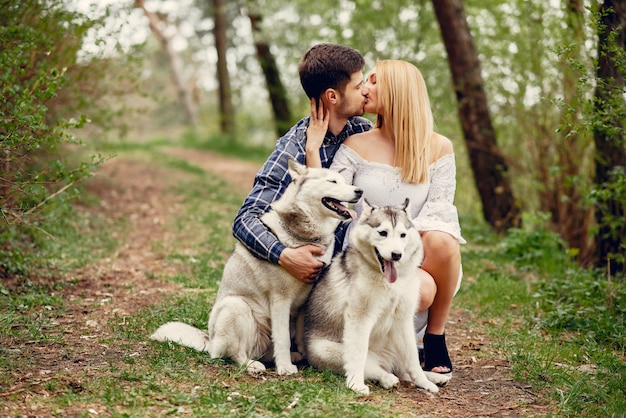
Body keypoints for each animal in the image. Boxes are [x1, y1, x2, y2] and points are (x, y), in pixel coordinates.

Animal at [150, 159, 360, 376]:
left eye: (345, 181)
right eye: (332, 181)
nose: (359, 191)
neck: (306, 236)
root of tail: (210, 341)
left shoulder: (303, 302)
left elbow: (302, 336)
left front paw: (304, 357)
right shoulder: (280, 300)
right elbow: (283, 339)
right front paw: (285, 368)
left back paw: (290, 357)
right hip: (236, 307)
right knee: (235, 353)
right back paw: (252, 365)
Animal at [304, 199, 446, 396]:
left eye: (402, 235)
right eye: (382, 233)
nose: (396, 254)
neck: (388, 281)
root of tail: (385, 362)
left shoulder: (403, 320)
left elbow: (413, 361)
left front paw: (424, 382)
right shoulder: (359, 318)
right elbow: (358, 357)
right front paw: (355, 384)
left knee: (404, 369)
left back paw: (434, 377)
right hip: (328, 350)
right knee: (373, 368)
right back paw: (386, 378)